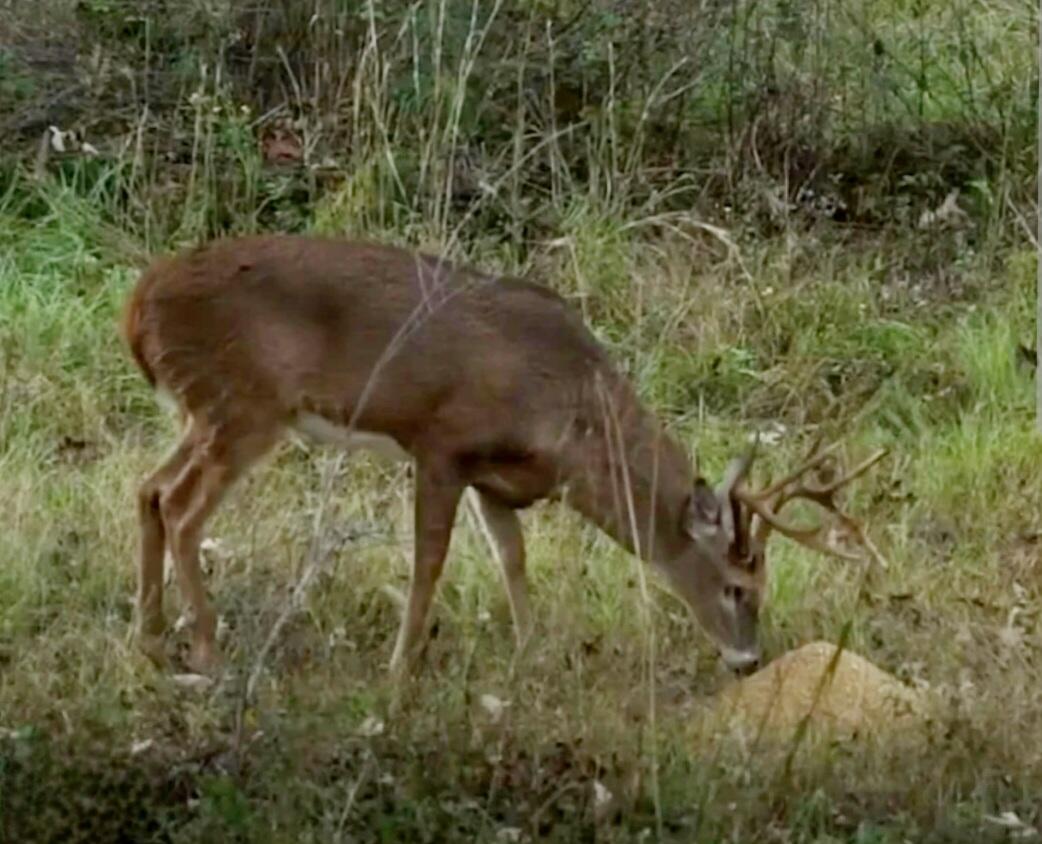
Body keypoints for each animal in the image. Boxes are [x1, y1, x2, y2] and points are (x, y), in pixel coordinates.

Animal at [121, 235, 887, 679]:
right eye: (737, 587)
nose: (749, 662)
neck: (570, 413)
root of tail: (138, 303)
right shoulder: (441, 443)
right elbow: (429, 561)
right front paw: (401, 669)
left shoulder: (500, 481)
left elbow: (512, 559)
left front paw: (530, 654)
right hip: (244, 403)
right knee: (182, 508)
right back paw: (207, 653)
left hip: (206, 411)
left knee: (149, 490)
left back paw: (151, 640)